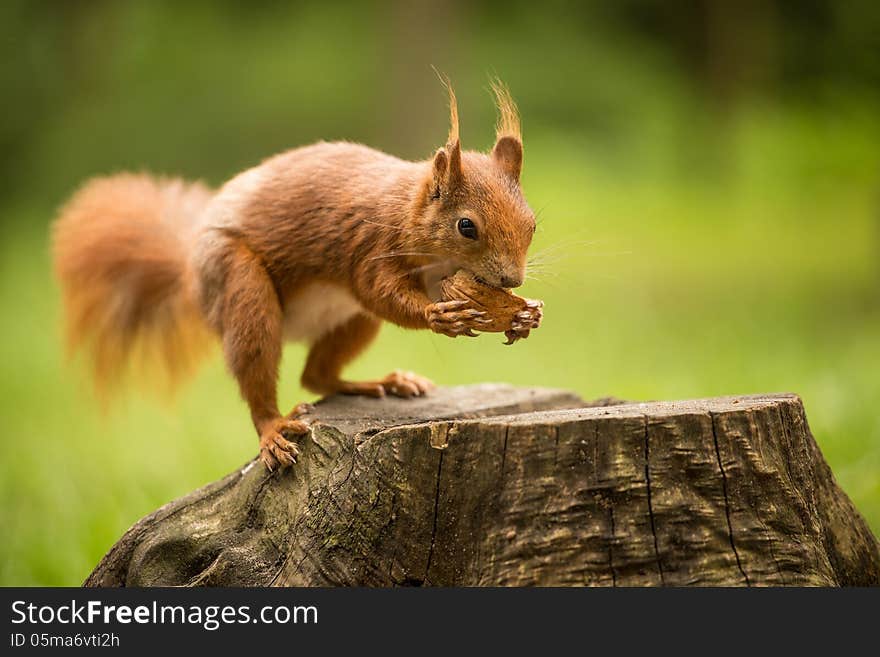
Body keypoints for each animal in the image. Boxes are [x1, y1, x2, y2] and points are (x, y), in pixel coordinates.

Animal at [55, 80, 540, 472]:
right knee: (261, 369)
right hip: (240, 286)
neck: (407, 211)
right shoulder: (369, 248)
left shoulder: (441, 274)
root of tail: (190, 272)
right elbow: (381, 292)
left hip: (351, 319)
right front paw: (440, 315)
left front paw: (524, 316)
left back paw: (383, 382)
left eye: (532, 223)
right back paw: (273, 429)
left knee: (317, 375)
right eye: (466, 227)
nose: (512, 281)